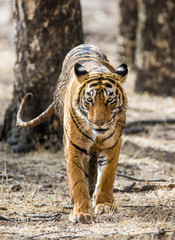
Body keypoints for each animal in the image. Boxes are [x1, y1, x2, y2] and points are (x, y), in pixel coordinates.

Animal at [16, 44, 129, 224]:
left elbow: (107, 176)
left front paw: (104, 204)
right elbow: (77, 180)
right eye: (89, 100)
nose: (99, 123)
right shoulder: (73, 146)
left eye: (110, 100)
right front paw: (81, 213)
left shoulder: (113, 144)